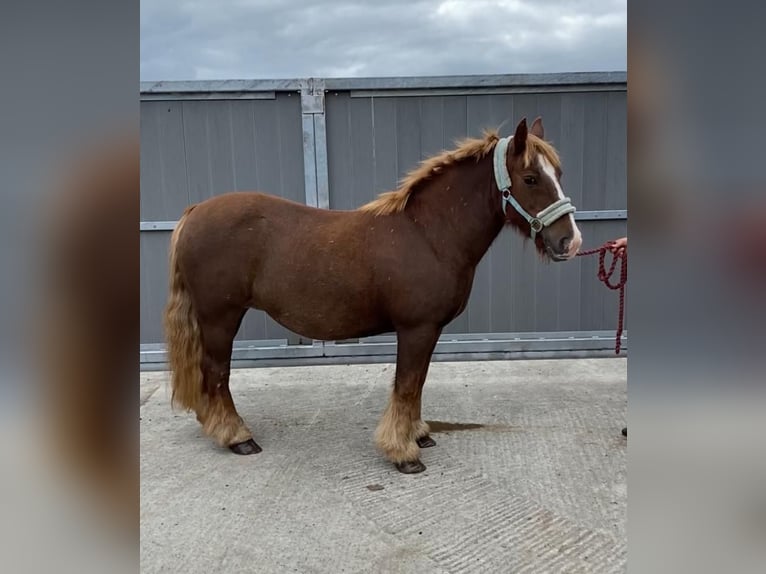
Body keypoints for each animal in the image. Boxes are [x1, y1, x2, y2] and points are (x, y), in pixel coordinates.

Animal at [162, 115, 584, 474]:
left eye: (559, 174)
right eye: (531, 178)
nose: (571, 241)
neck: (428, 234)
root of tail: (195, 211)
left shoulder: (428, 331)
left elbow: (418, 383)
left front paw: (419, 435)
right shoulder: (416, 328)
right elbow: (407, 384)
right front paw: (403, 453)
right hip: (221, 317)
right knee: (217, 374)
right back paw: (237, 437)